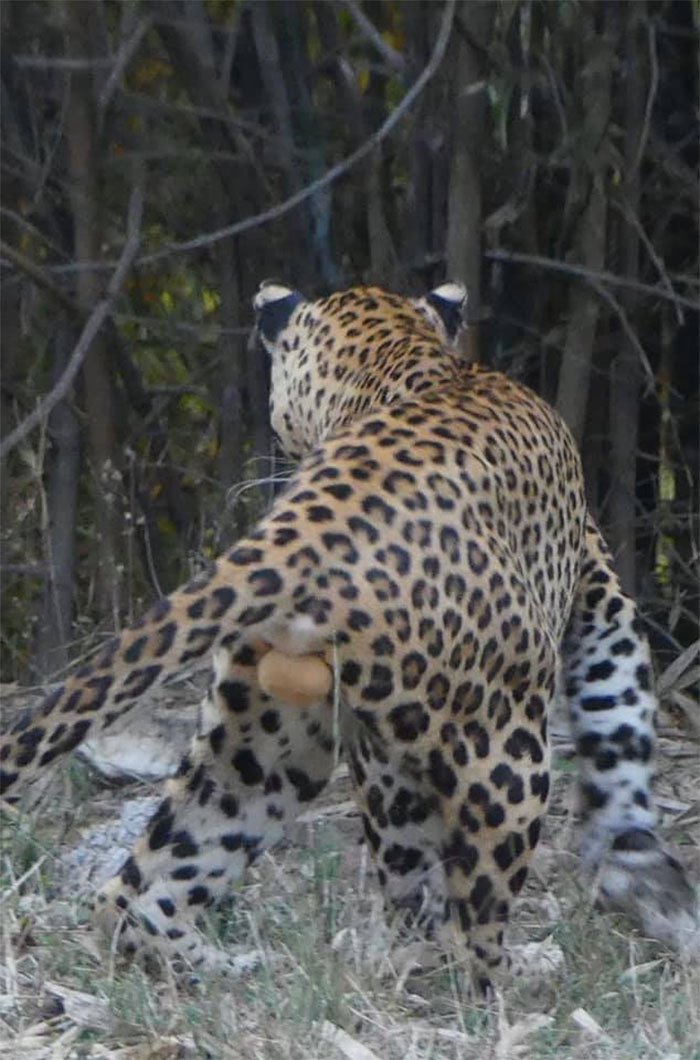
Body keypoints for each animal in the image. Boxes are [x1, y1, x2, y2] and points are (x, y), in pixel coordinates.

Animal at [1, 281, 696, 988]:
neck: (396, 356)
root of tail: (308, 533)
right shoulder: (595, 580)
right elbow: (616, 708)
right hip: (500, 747)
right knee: (467, 924)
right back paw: (513, 973)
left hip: (263, 736)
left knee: (139, 889)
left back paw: (228, 966)